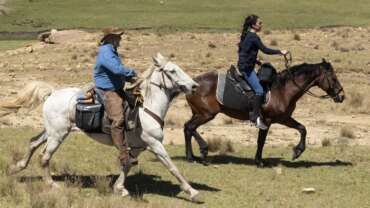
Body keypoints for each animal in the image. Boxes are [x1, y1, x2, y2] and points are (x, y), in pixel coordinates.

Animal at [8, 52, 201, 202]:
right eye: (172, 71)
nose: (194, 86)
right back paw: (52, 184)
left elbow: (126, 166)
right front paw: (192, 192)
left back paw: (17, 167)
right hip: (57, 135)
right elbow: (172, 167)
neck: (147, 108)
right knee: (44, 156)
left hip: (52, 132)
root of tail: (52, 93)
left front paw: (119, 188)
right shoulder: (155, 144)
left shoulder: (137, 147)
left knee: (33, 143)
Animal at [184, 58, 344, 167]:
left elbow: (302, 129)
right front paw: (259, 161)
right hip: (206, 114)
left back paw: (191, 157)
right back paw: (202, 152)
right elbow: (261, 140)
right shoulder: (267, 120)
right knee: (190, 128)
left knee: (188, 128)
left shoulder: (284, 118)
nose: (342, 96)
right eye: (333, 78)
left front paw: (297, 152)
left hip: (199, 113)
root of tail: (193, 83)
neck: (282, 90)